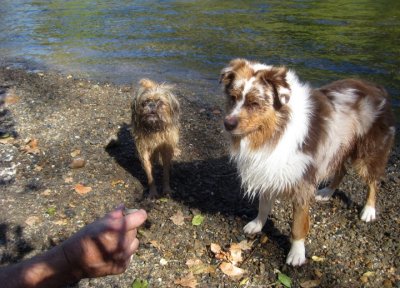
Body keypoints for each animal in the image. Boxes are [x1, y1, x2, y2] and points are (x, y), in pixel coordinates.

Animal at [220, 58, 396, 266]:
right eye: (233, 98)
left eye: (254, 103)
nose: (228, 124)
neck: (276, 130)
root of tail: (376, 87)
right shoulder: (268, 169)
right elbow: (263, 206)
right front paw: (257, 224)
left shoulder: (303, 182)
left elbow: (297, 224)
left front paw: (296, 253)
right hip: (338, 145)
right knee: (341, 170)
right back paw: (327, 192)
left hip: (367, 154)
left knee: (373, 182)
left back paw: (369, 210)